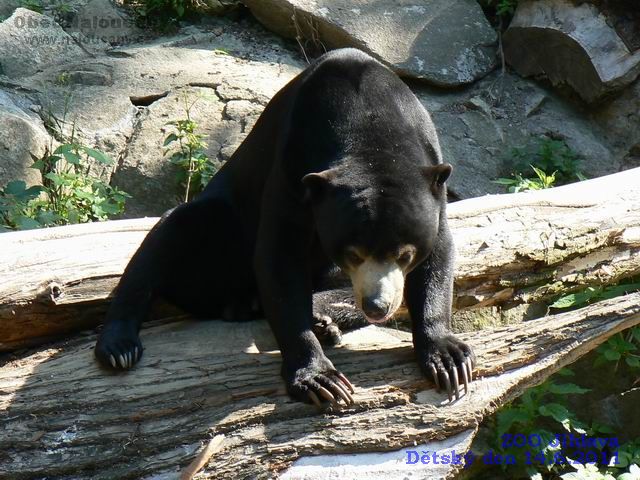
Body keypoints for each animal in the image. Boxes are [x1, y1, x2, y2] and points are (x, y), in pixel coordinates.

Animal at [95, 48, 476, 406]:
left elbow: (440, 255)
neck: (371, 126)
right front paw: (322, 381)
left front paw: (450, 359)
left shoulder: (431, 180)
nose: (377, 306)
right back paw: (120, 347)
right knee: (169, 235)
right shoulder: (293, 167)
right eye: (353, 253)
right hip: (218, 229)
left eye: (404, 255)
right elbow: (279, 257)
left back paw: (319, 319)